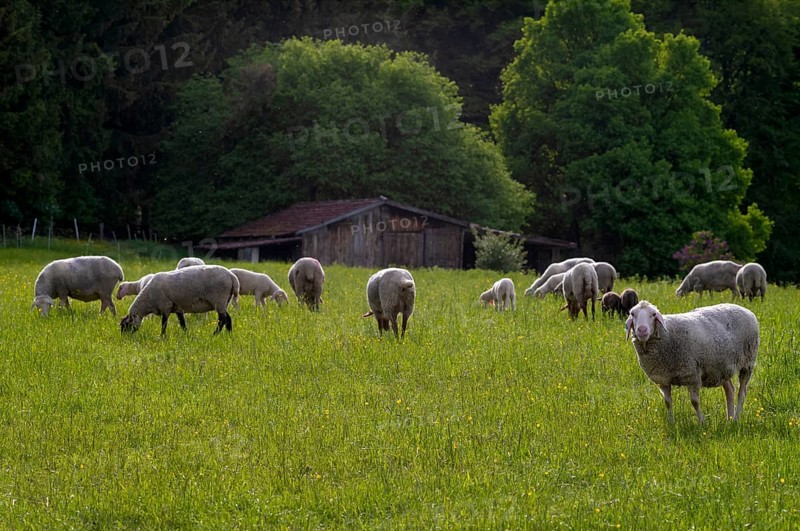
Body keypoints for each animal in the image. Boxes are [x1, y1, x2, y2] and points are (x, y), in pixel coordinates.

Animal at [626, 300, 759, 423]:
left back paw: (736, 419)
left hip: (748, 362)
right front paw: (671, 423)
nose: (642, 330)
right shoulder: (663, 379)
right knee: (730, 391)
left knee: (742, 393)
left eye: (653, 314)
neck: (667, 336)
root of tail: (745, 309)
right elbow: (667, 402)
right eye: (632, 314)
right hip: (722, 367)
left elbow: (694, 402)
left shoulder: (692, 375)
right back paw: (729, 420)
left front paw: (701, 423)